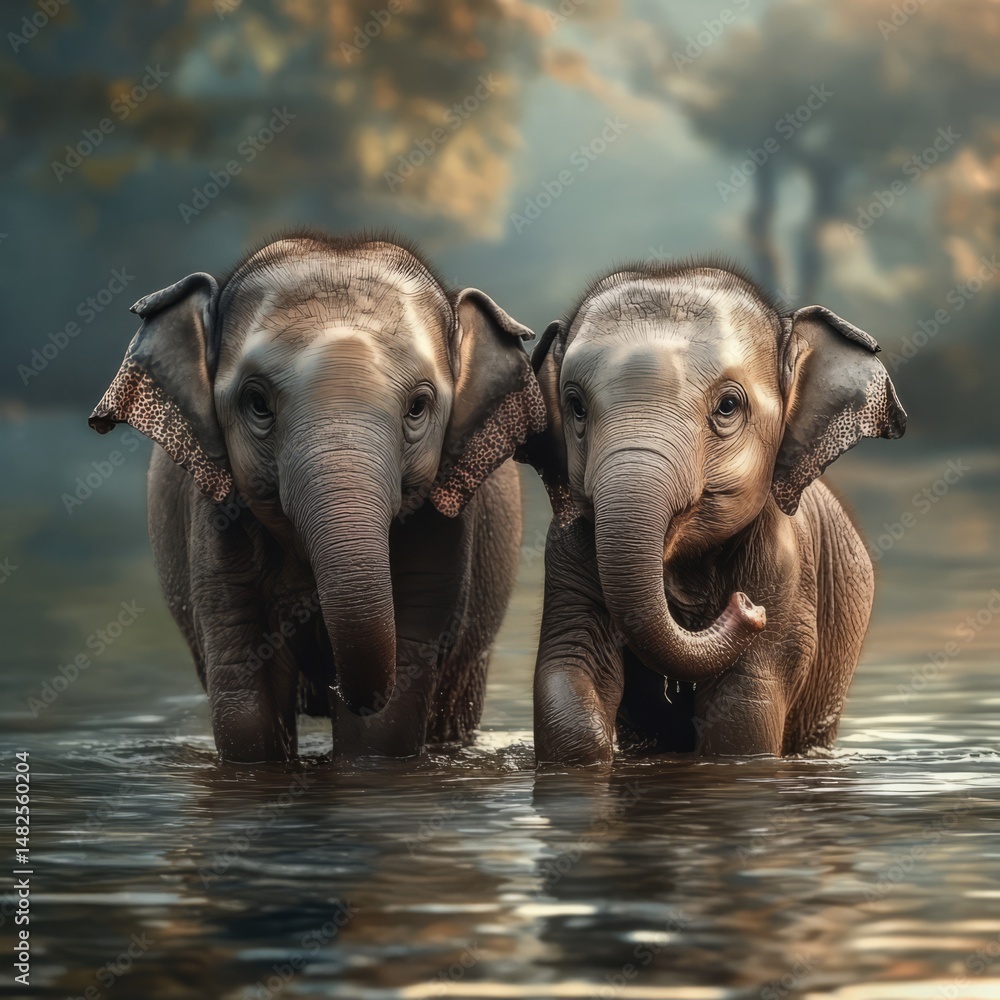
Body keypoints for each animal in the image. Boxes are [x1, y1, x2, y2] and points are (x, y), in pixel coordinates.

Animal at [88, 232, 546, 763]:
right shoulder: (215, 518)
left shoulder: (442, 521)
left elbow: (390, 710)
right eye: (257, 403)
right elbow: (248, 702)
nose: (331, 688)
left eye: (418, 407)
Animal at [521, 261, 906, 764]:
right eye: (576, 406)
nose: (748, 609)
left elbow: (740, 718)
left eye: (728, 406)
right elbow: (571, 672)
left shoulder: (785, 568)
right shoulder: (569, 550)